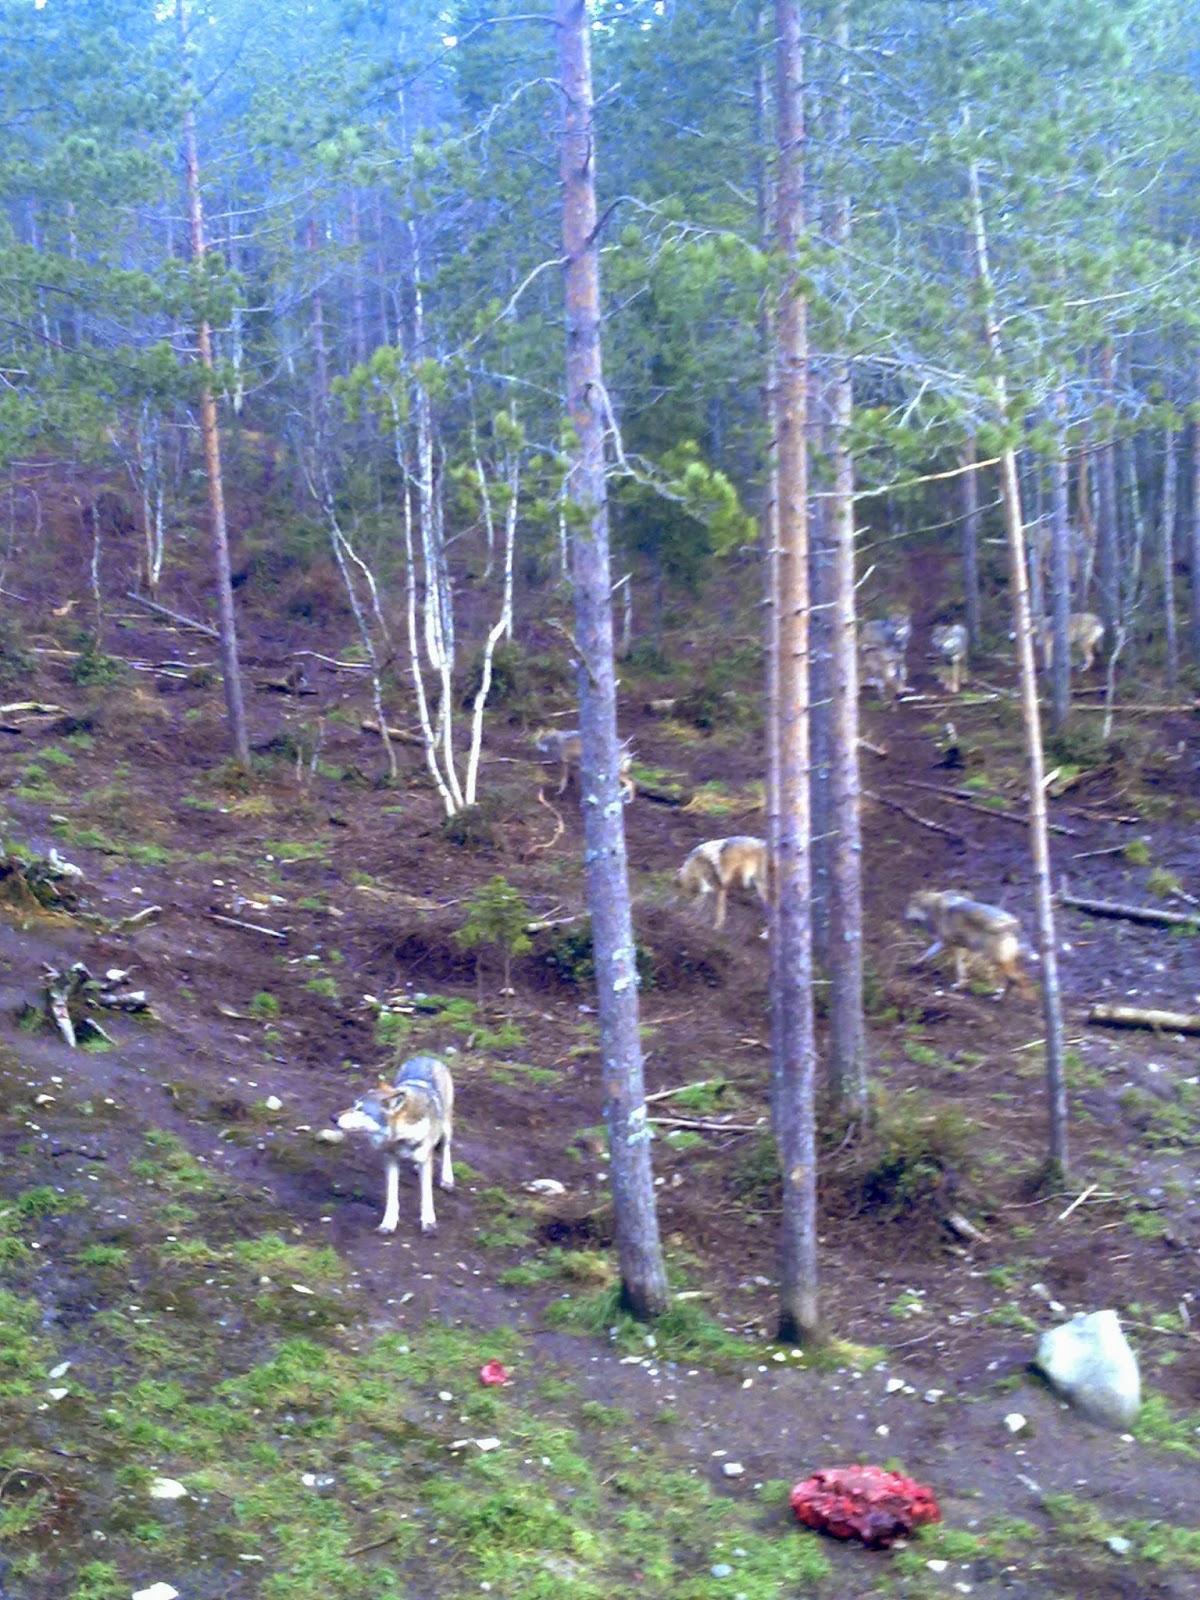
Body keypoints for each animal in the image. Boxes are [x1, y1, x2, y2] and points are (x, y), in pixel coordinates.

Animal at [335, 1055, 455, 1234]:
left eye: (361, 1110)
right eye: (353, 1105)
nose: (333, 1117)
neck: (402, 1137)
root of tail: (426, 1056)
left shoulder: (425, 1159)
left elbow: (426, 1195)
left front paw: (428, 1222)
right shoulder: (390, 1159)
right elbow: (392, 1195)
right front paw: (388, 1223)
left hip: (446, 1128)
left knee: (446, 1149)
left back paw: (447, 1179)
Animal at [904, 889, 1034, 999]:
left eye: (909, 907)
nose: (903, 915)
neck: (931, 906)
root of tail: (1014, 922)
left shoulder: (951, 945)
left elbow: (958, 967)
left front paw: (959, 984)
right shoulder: (955, 946)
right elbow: (928, 954)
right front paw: (915, 964)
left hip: (997, 960)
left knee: (1018, 978)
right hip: (1002, 960)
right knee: (1016, 979)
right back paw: (1002, 996)